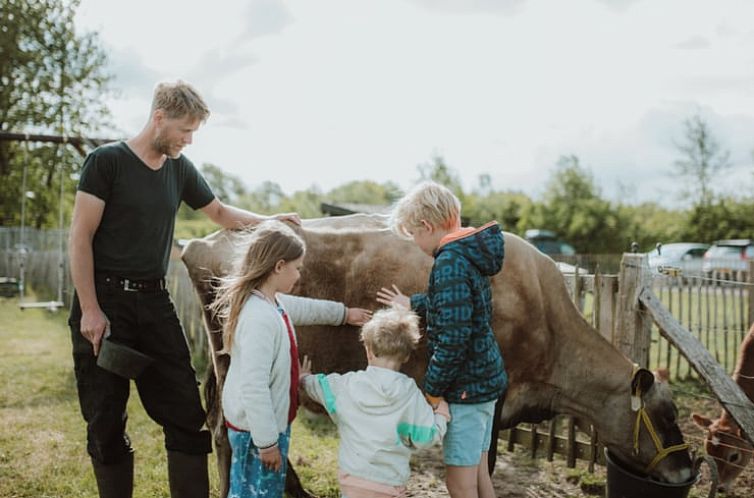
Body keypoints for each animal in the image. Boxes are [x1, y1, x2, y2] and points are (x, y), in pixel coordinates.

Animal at [182, 214, 692, 498]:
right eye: (665, 415)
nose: (687, 468)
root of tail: (204, 241)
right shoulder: (490, 399)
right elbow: (482, 463)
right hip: (236, 363)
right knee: (229, 435)